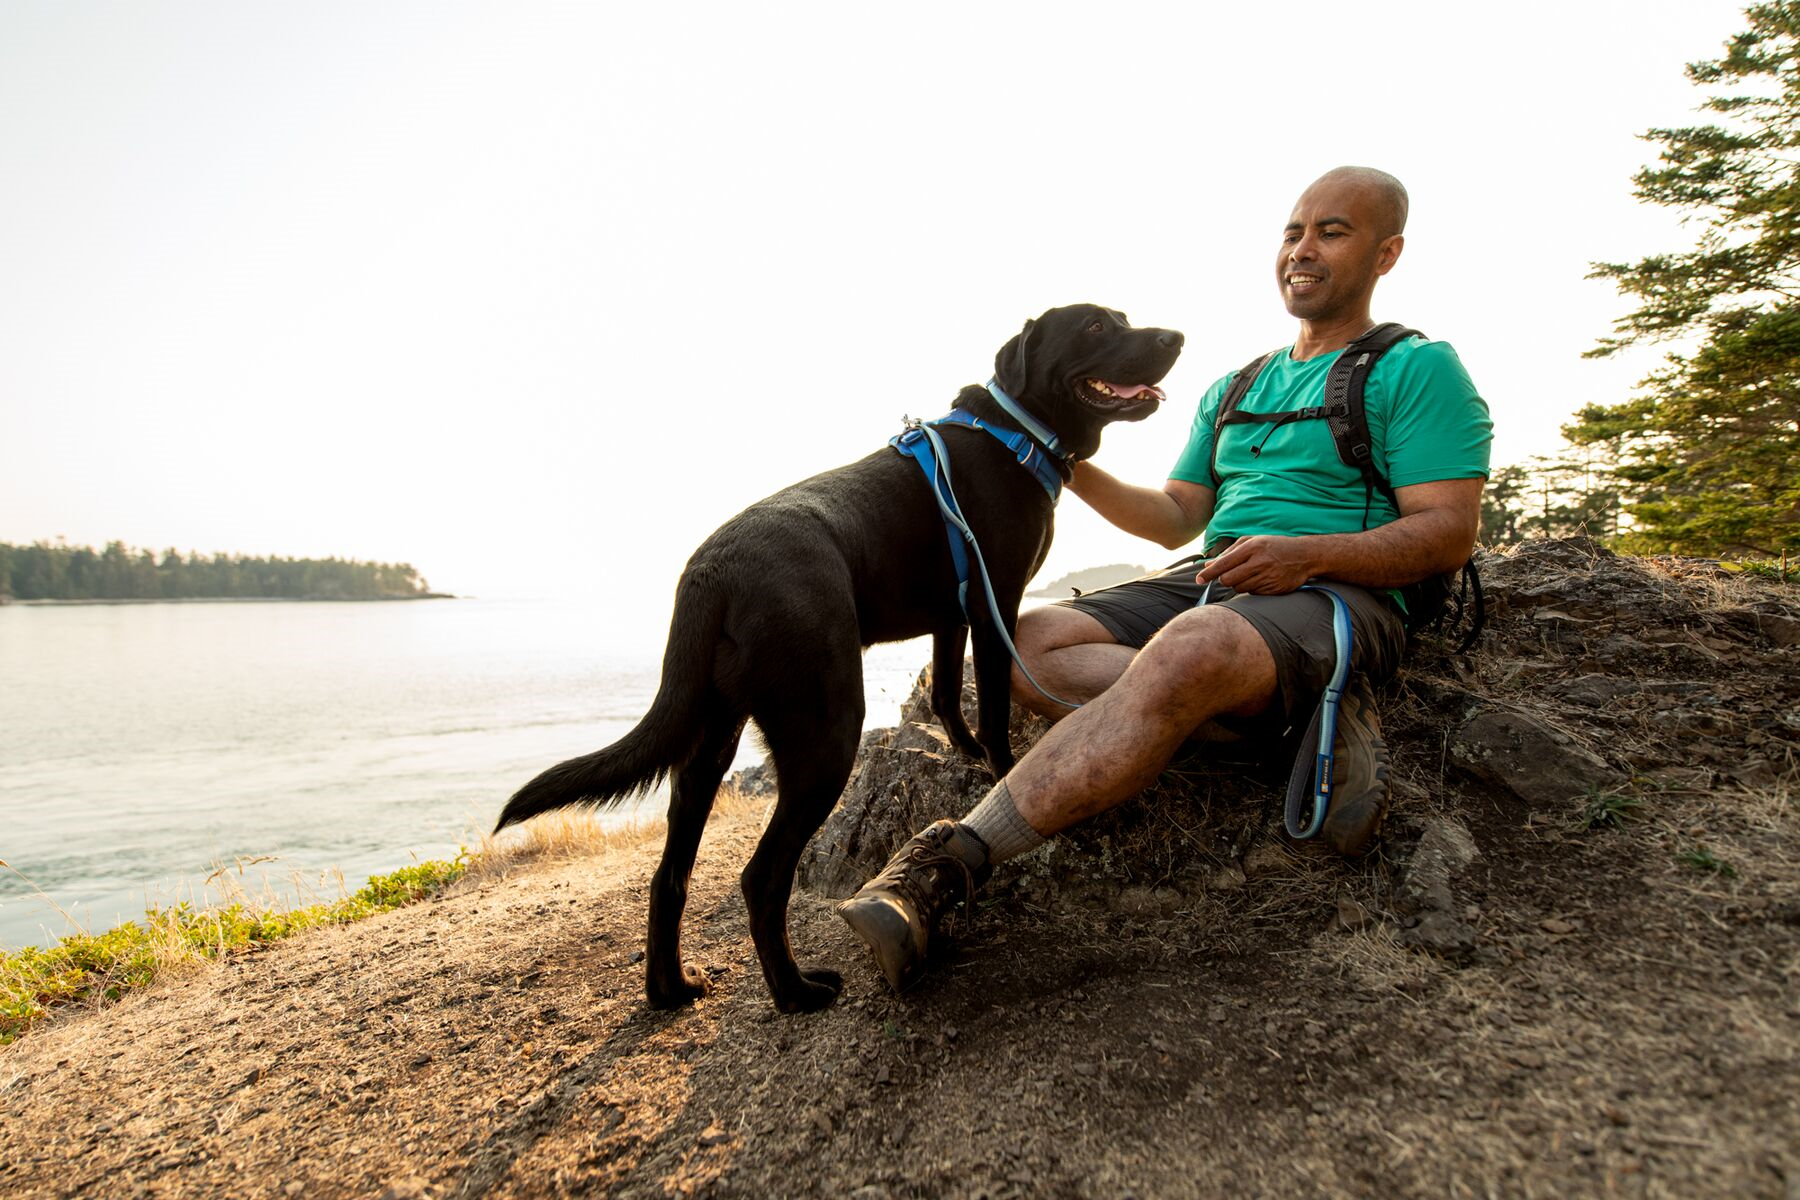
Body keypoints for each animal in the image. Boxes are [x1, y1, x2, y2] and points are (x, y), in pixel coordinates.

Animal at [493, 302, 1180, 1014]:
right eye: (1096, 327)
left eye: (1123, 318)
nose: (1176, 337)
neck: (1013, 430)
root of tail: (711, 572)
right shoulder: (995, 606)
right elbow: (992, 713)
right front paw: (999, 770)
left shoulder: (951, 615)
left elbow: (944, 694)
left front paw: (957, 748)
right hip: (826, 730)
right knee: (761, 877)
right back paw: (795, 992)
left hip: (707, 747)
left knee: (669, 876)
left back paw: (671, 990)